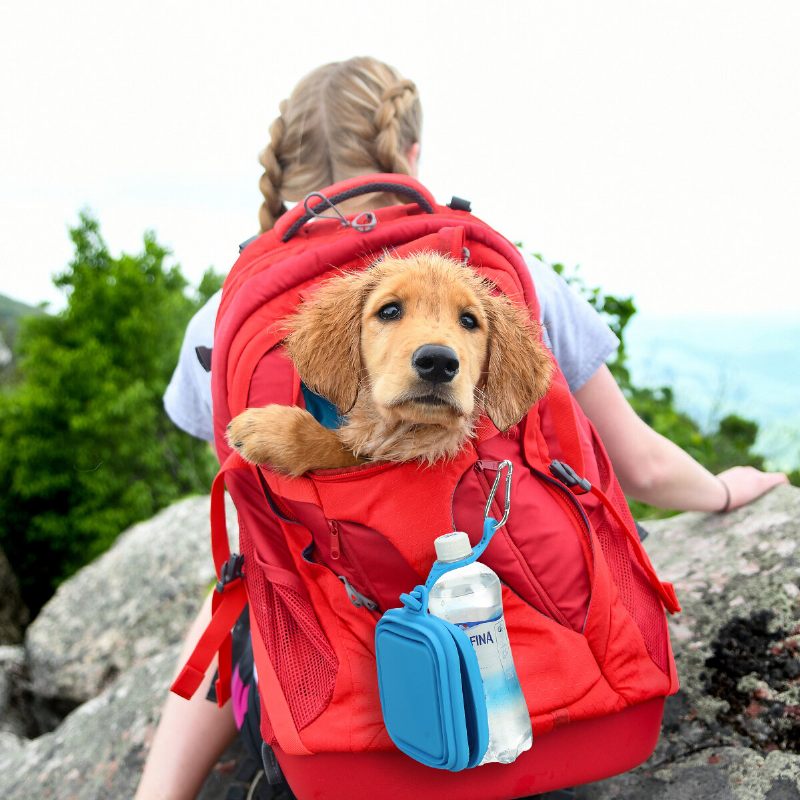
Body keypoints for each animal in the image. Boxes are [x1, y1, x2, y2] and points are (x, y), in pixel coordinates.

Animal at [225, 252, 552, 476]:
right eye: (390, 310)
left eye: (469, 321)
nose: (438, 361)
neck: (407, 431)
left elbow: (342, 450)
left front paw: (273, 430)